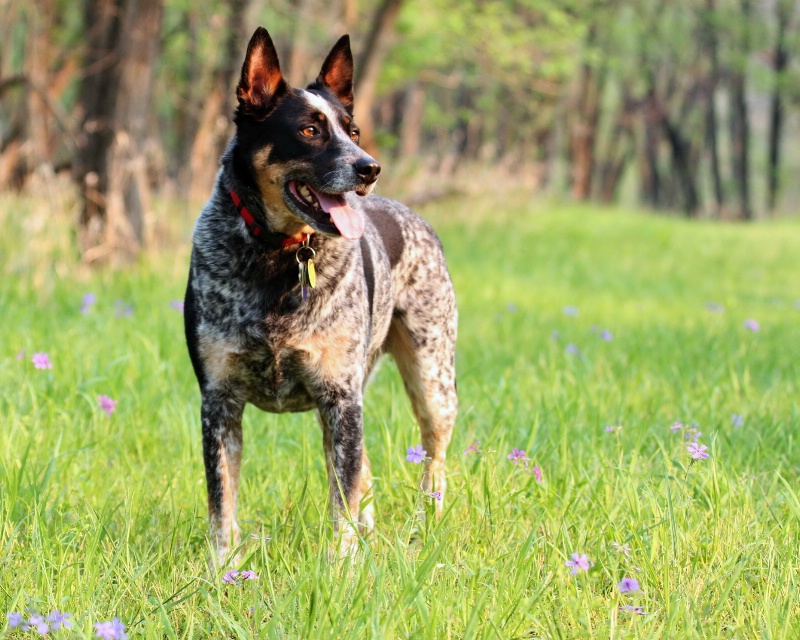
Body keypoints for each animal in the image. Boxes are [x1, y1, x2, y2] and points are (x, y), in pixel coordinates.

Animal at [182, 26, 456, 564]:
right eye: (310, 130)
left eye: (353, 130)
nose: (370, 167)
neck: (280, 256)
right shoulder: (218, 403)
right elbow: (222, 503)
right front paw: (222, 568)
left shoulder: (339, 398)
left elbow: (341, 500)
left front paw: (342, 567)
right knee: (366, 469)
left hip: (433, 379)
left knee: (432, 464)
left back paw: (425, 531)